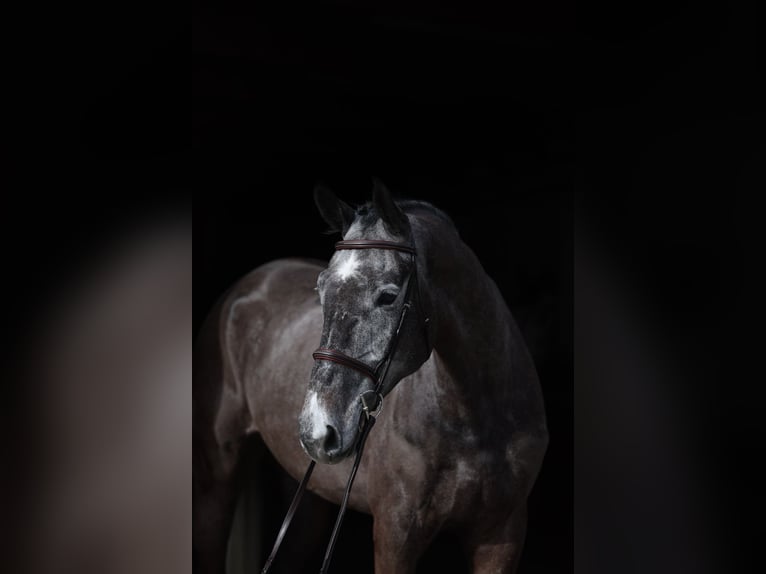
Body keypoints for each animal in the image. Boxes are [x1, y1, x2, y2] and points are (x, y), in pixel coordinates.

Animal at [193, 181, 549, 573]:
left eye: (389, 296)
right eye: (321, 290)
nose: (317, 431)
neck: (474, 419)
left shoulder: (502, 535)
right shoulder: (396, 534)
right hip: (216, 480)